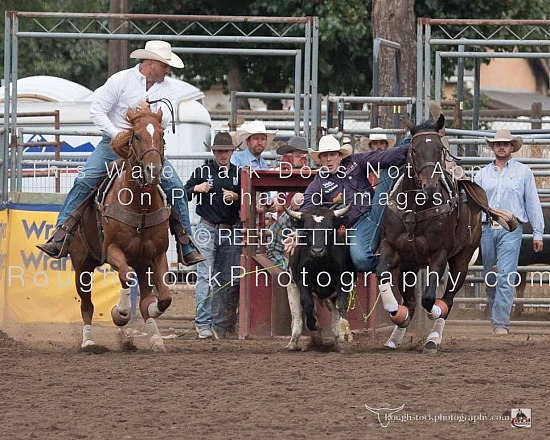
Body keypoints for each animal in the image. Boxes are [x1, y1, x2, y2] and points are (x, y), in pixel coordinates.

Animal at [70, 107, 172, 354]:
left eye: (162, 134)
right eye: (136, 136)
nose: (153, 170)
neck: (140, 205)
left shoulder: (157, 255)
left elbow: (162, 297)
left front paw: (150, 311)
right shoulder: (112, 250)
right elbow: (126, 278)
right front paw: (121, 312)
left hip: (142, 263)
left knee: (141, 292)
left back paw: (155, 339)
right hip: (81, 265)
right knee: (87, 304)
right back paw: (89, 341)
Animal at [380, 114, 484, 354]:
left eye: (439, 149)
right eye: (414, 149)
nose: (429, 187)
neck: (414, 207)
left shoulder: (439, 255)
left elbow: (428, 298)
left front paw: (434, 312)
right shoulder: (392, 248)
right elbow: (382, 277)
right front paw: (396, 312)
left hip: (462, 260)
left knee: (449, 298)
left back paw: (433, 338)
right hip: (409, 266)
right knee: (410, 301)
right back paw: (395, 336)